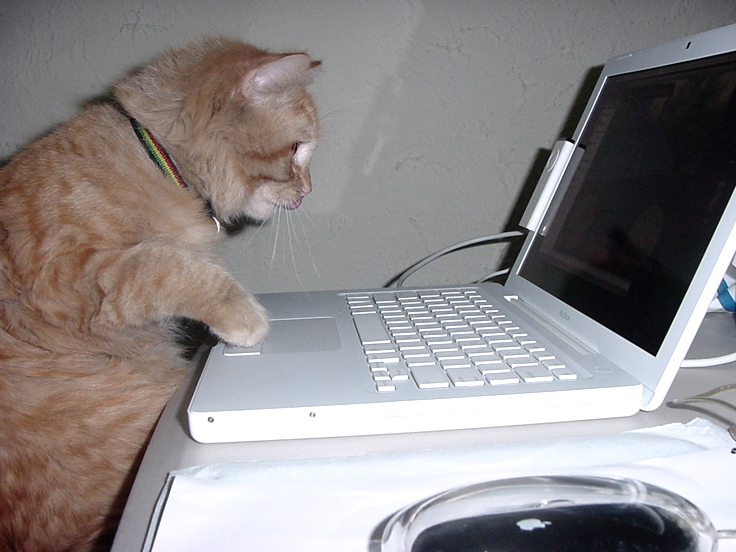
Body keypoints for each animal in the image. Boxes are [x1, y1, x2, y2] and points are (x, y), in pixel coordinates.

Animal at [0, 36, 320, 548]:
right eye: (296, 148)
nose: (308, 190)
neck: (157, 159)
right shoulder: (69, 278)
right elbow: (166, 265)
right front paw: (245, 317)